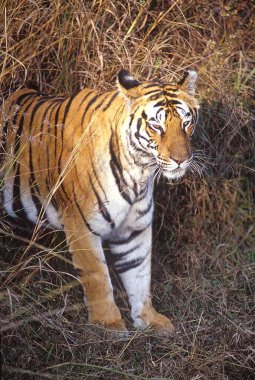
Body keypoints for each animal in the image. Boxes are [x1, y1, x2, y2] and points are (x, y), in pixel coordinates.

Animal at [0, 69, 199, 336]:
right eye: (156, 125)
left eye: (186, 123)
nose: (181, 160)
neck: (139, 171)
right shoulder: (81, 224)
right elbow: (97, 276)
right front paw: (108, 324)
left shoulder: (134, 229)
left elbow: (139, 273)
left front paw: (148, 319)